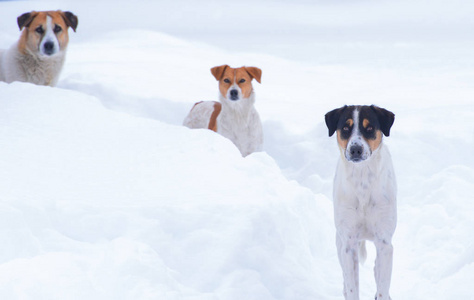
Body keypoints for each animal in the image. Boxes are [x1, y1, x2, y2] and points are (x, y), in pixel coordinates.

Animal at [326, 105, 396, 300]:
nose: (355, 149)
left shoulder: (384, 243)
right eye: (345, 127)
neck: (362, 180)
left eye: (370, 127)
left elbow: (382, 287)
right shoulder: (348, 243)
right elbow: (352, 288)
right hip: (340, 242)